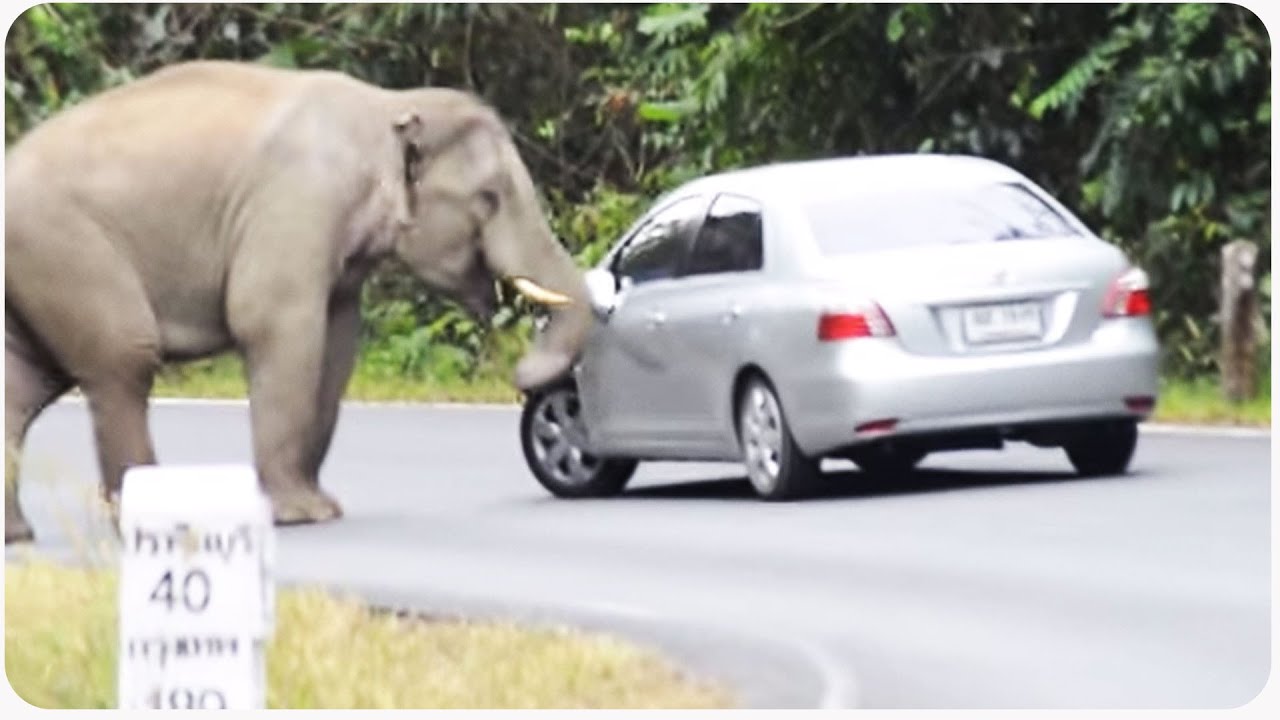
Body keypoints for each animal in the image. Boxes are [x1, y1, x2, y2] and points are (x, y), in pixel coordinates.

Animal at [2, 61, 591, 540]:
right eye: (489, 197)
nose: (523, 375)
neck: (386, 106)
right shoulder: (299, 202)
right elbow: (273, 322)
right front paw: (300, 517)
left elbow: (337, 344)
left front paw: (324, 508)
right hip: (65, 247)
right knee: (123, 357)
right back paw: (153, 521)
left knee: (24, 382)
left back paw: (18, 536)